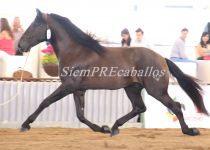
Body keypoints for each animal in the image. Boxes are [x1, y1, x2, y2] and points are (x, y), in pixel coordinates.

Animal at [17, 9, 208, 136]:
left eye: (35, 25)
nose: (20, 46)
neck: (75, 52)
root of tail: (162, 58)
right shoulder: (78, 89)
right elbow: (80, 115)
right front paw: (102, 128)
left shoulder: (68, 86)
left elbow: (45, 102)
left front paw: (25, 124)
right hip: (132, 88)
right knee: (140, 107)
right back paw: (114, 127)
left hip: (156, 91)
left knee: (175, 106)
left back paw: (190, 131)